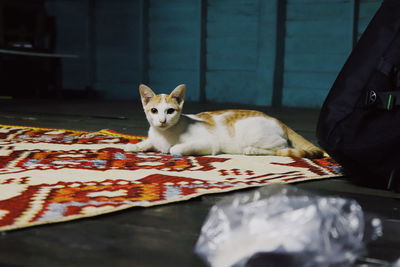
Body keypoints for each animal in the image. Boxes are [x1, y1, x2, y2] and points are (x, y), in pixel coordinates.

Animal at [125, 84, 324, 159]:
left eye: (170, 111)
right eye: (154, 111)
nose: (162, 120)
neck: (165, 134)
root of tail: (278, 120)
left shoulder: (209, 143)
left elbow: (175, 149)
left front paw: (172, 149)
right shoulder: (155, 137)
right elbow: (149, 141)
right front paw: (134, 145)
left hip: (253, 135)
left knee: (280, 147)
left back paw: (252, 150)